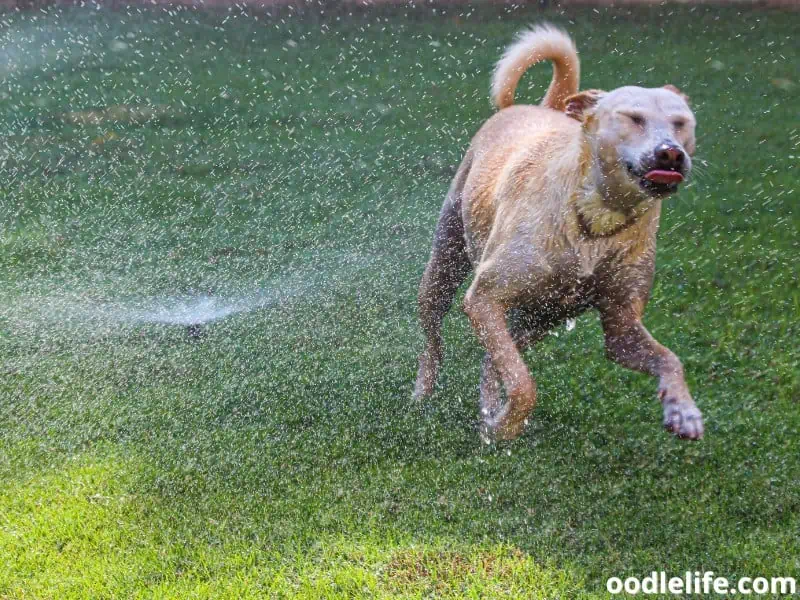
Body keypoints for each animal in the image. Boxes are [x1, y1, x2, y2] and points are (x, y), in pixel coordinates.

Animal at [416, 24, 704, 440]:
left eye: (681, 122)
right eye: (633, 118)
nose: (671, 153)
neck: (596, 219)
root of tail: (537, 109)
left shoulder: (621, 326)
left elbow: (669, 358)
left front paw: (683, 410)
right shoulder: (484, 299)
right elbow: (523, 384)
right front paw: (507, 426)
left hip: (540, 316)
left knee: (493, 357)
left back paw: (489, 407)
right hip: (446, 264)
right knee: (437, 338)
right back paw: (423, 394)